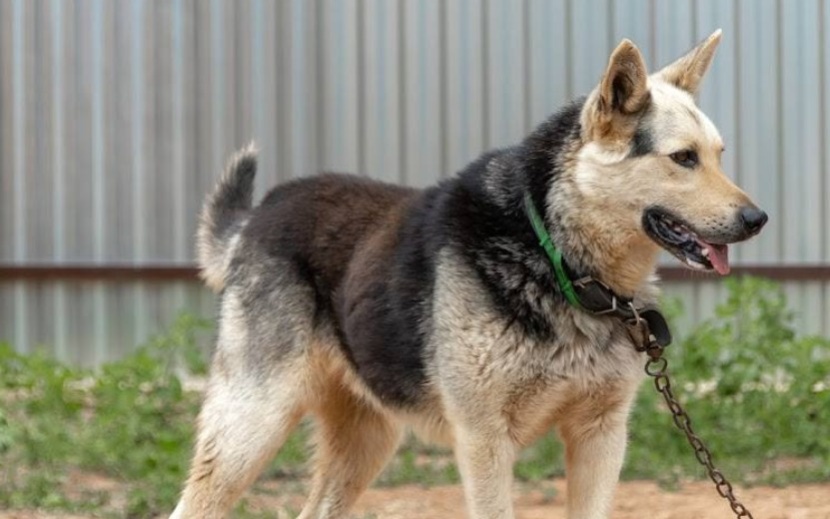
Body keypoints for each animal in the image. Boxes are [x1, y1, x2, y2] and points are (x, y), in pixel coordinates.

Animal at [169, 29, 768, 519]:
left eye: (718, 154)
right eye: (684, 158)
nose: (757, 219)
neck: (558, 255)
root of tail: (260, 214)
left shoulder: (601, 435)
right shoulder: (484, 442)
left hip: (367, 440)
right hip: (251, 426)